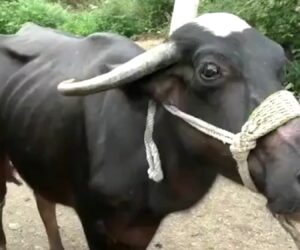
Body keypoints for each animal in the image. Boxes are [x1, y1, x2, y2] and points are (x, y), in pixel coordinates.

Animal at [0, 12, 300, 250]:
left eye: (281, 66)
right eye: (210, 70)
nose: (295, 174)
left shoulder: (143, 227)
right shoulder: (94, 222)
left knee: (44, 202)